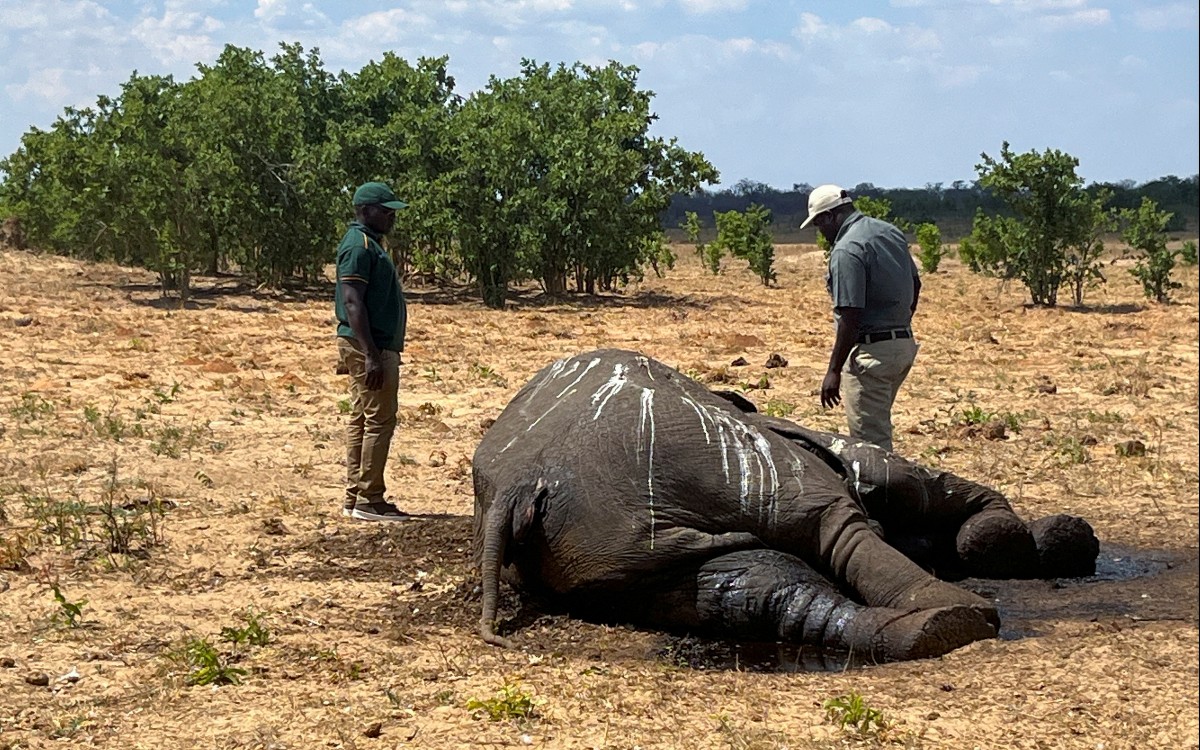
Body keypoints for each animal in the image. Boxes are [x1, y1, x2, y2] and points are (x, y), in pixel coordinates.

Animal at [472, 349, 1099, 663]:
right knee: (831, 524)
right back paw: (956, 616)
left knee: (749, 591)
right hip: (710, 456)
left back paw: (926, 631)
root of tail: (524, 480)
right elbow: (915, 486)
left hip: (607, 548)